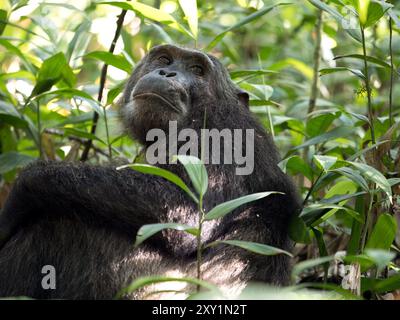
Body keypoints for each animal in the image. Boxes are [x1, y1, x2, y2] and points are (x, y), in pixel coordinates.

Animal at [0, 45, 302, 300]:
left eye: (197, 70)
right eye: (165, 59)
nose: (167, 72)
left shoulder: (223, 131)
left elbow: (187, 212)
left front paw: (22, 191)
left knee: (54, 225)